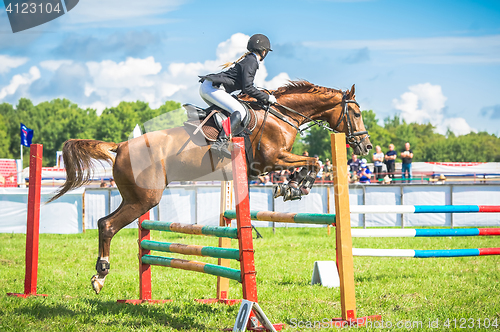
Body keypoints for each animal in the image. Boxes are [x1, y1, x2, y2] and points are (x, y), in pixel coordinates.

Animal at [48, 80, 374, 294]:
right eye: (357, 114)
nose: (366, 146)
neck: (282, 115)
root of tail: (121, 146)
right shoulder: (271, 160)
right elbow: (314, 161)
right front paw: (295, 186)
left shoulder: (273, 162)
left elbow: (310, 162)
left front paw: (293, 187)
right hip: (144, 199)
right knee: (107, 225)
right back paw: (100, 275)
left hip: (133, 197)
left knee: (105, 222)